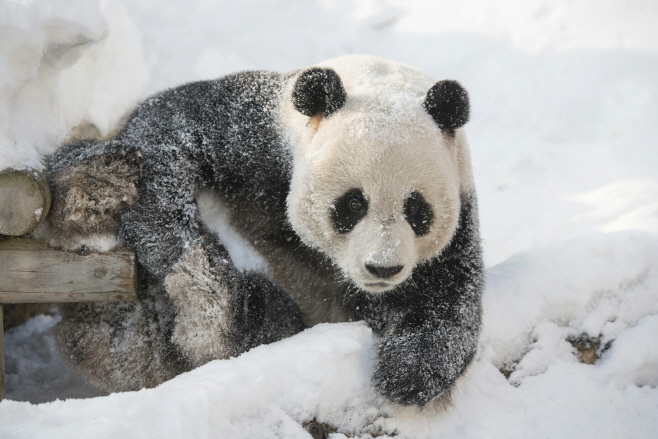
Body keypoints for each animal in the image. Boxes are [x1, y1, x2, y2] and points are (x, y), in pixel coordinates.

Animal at [48, 55, 482, 410]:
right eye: (354, 204)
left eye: (416, 210)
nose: (383, 268)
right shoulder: (255, 133)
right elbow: (165, 133)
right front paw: (189, 259)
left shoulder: (458, 217)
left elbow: (447, 301)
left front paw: (405, 375)